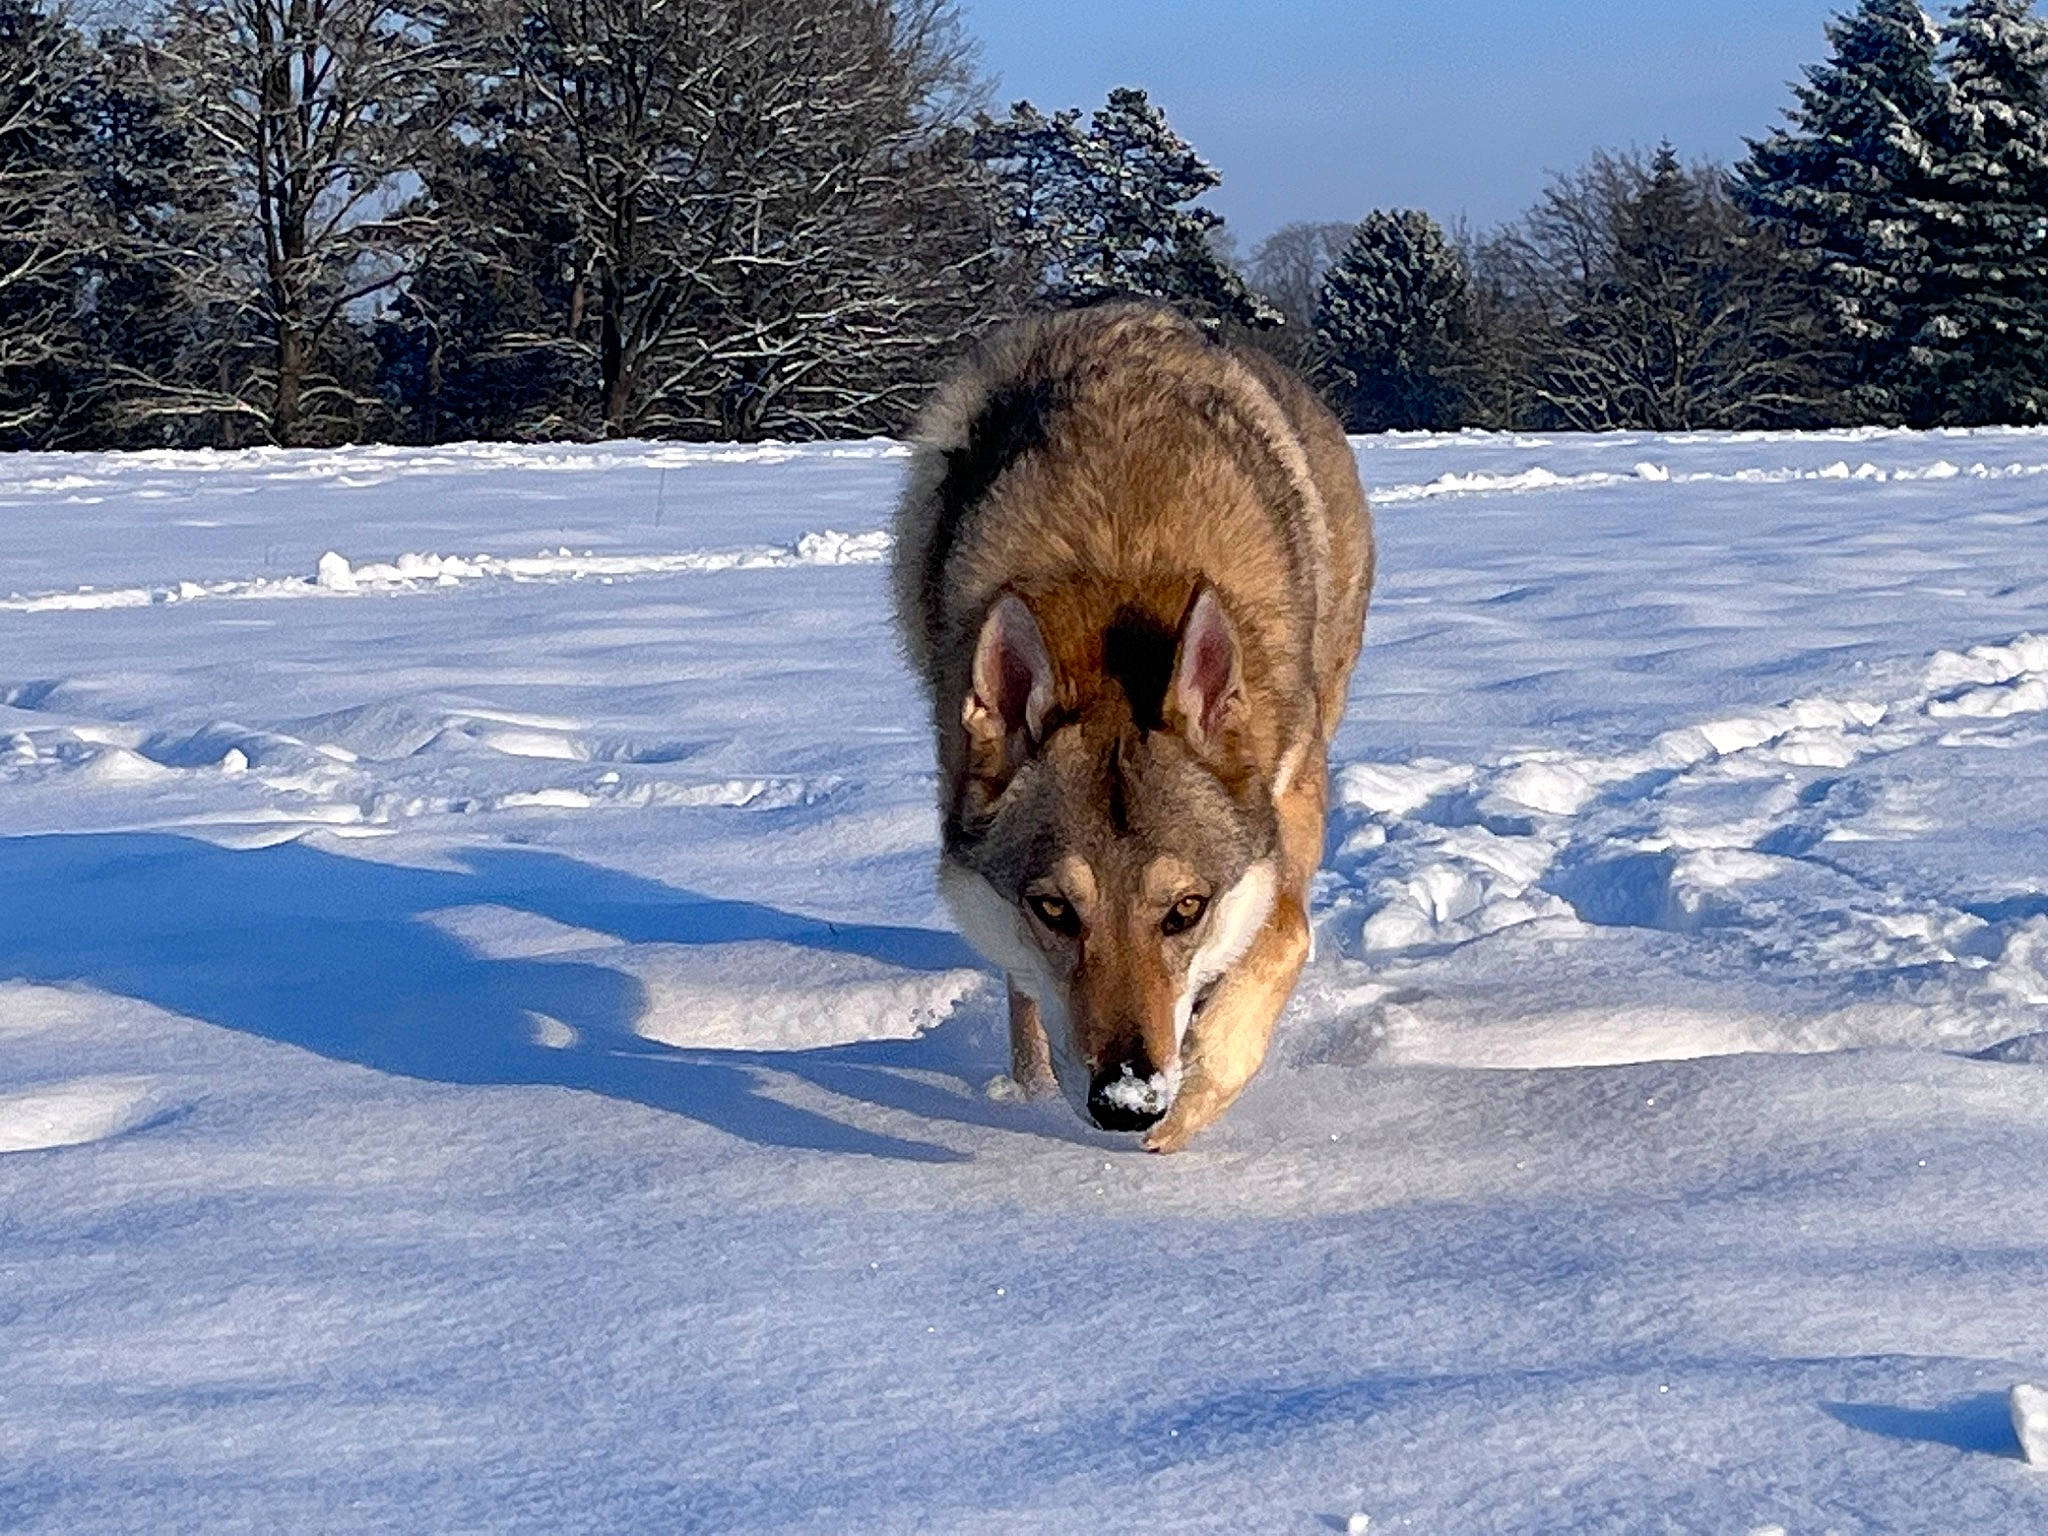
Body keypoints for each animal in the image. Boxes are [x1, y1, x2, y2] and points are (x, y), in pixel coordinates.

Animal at [892, 303, 1374, 1152]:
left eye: (1185, 910)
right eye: (1055, 909)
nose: (1125, 1101)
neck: (1119, 565)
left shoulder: (1284, 811)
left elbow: (1281, 937)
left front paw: (1188, 1104)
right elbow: (1025, 989)